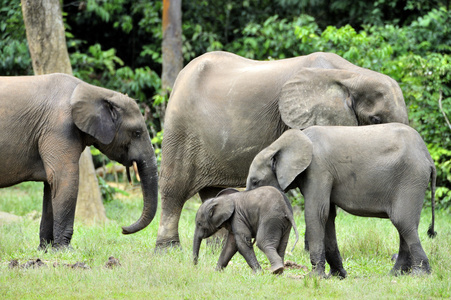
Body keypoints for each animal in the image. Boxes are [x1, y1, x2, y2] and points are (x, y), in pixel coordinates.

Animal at [0, 72, 159, 248]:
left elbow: (51, 185)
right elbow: (64, 178)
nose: (122, 229)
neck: (95, 91)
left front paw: (46, 250)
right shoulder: (59, 128)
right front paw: (65, 250)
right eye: (137, 133)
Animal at [157, 51, 412, 248]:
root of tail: (182, 74)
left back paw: (216, 247)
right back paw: (167, 250)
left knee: (212, 192)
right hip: (180, 128)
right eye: (376, 119)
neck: (352, 76)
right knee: (174, 187)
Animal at [247, 123, 438, 276]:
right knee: (404, 225)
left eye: (256, 181)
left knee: (403, 222)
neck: (277, 145)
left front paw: (314, 277)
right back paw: (396, 274)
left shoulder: (318, 169)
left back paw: (419, 274)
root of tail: (428, 157)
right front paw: (337, 275)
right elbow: (328, 216)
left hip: (411, 178)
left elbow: (316, 212)